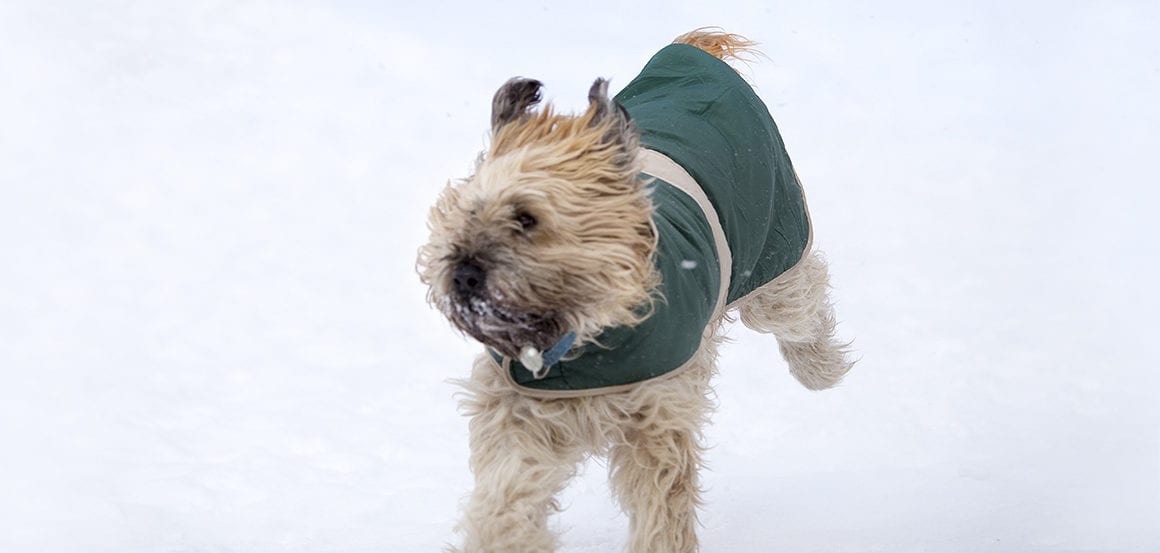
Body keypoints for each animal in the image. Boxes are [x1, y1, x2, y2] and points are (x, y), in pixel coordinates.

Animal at [417, 29, 853, 551]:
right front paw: (502, 539)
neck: (579, 343)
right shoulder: (521, 415)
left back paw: (821, 369)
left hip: (771, 247)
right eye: (465, 211)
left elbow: (660, 503)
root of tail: (688, 50)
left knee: (800, 304)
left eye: (526, 217)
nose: (461, 274)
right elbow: (509, 493)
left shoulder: (656, 418)